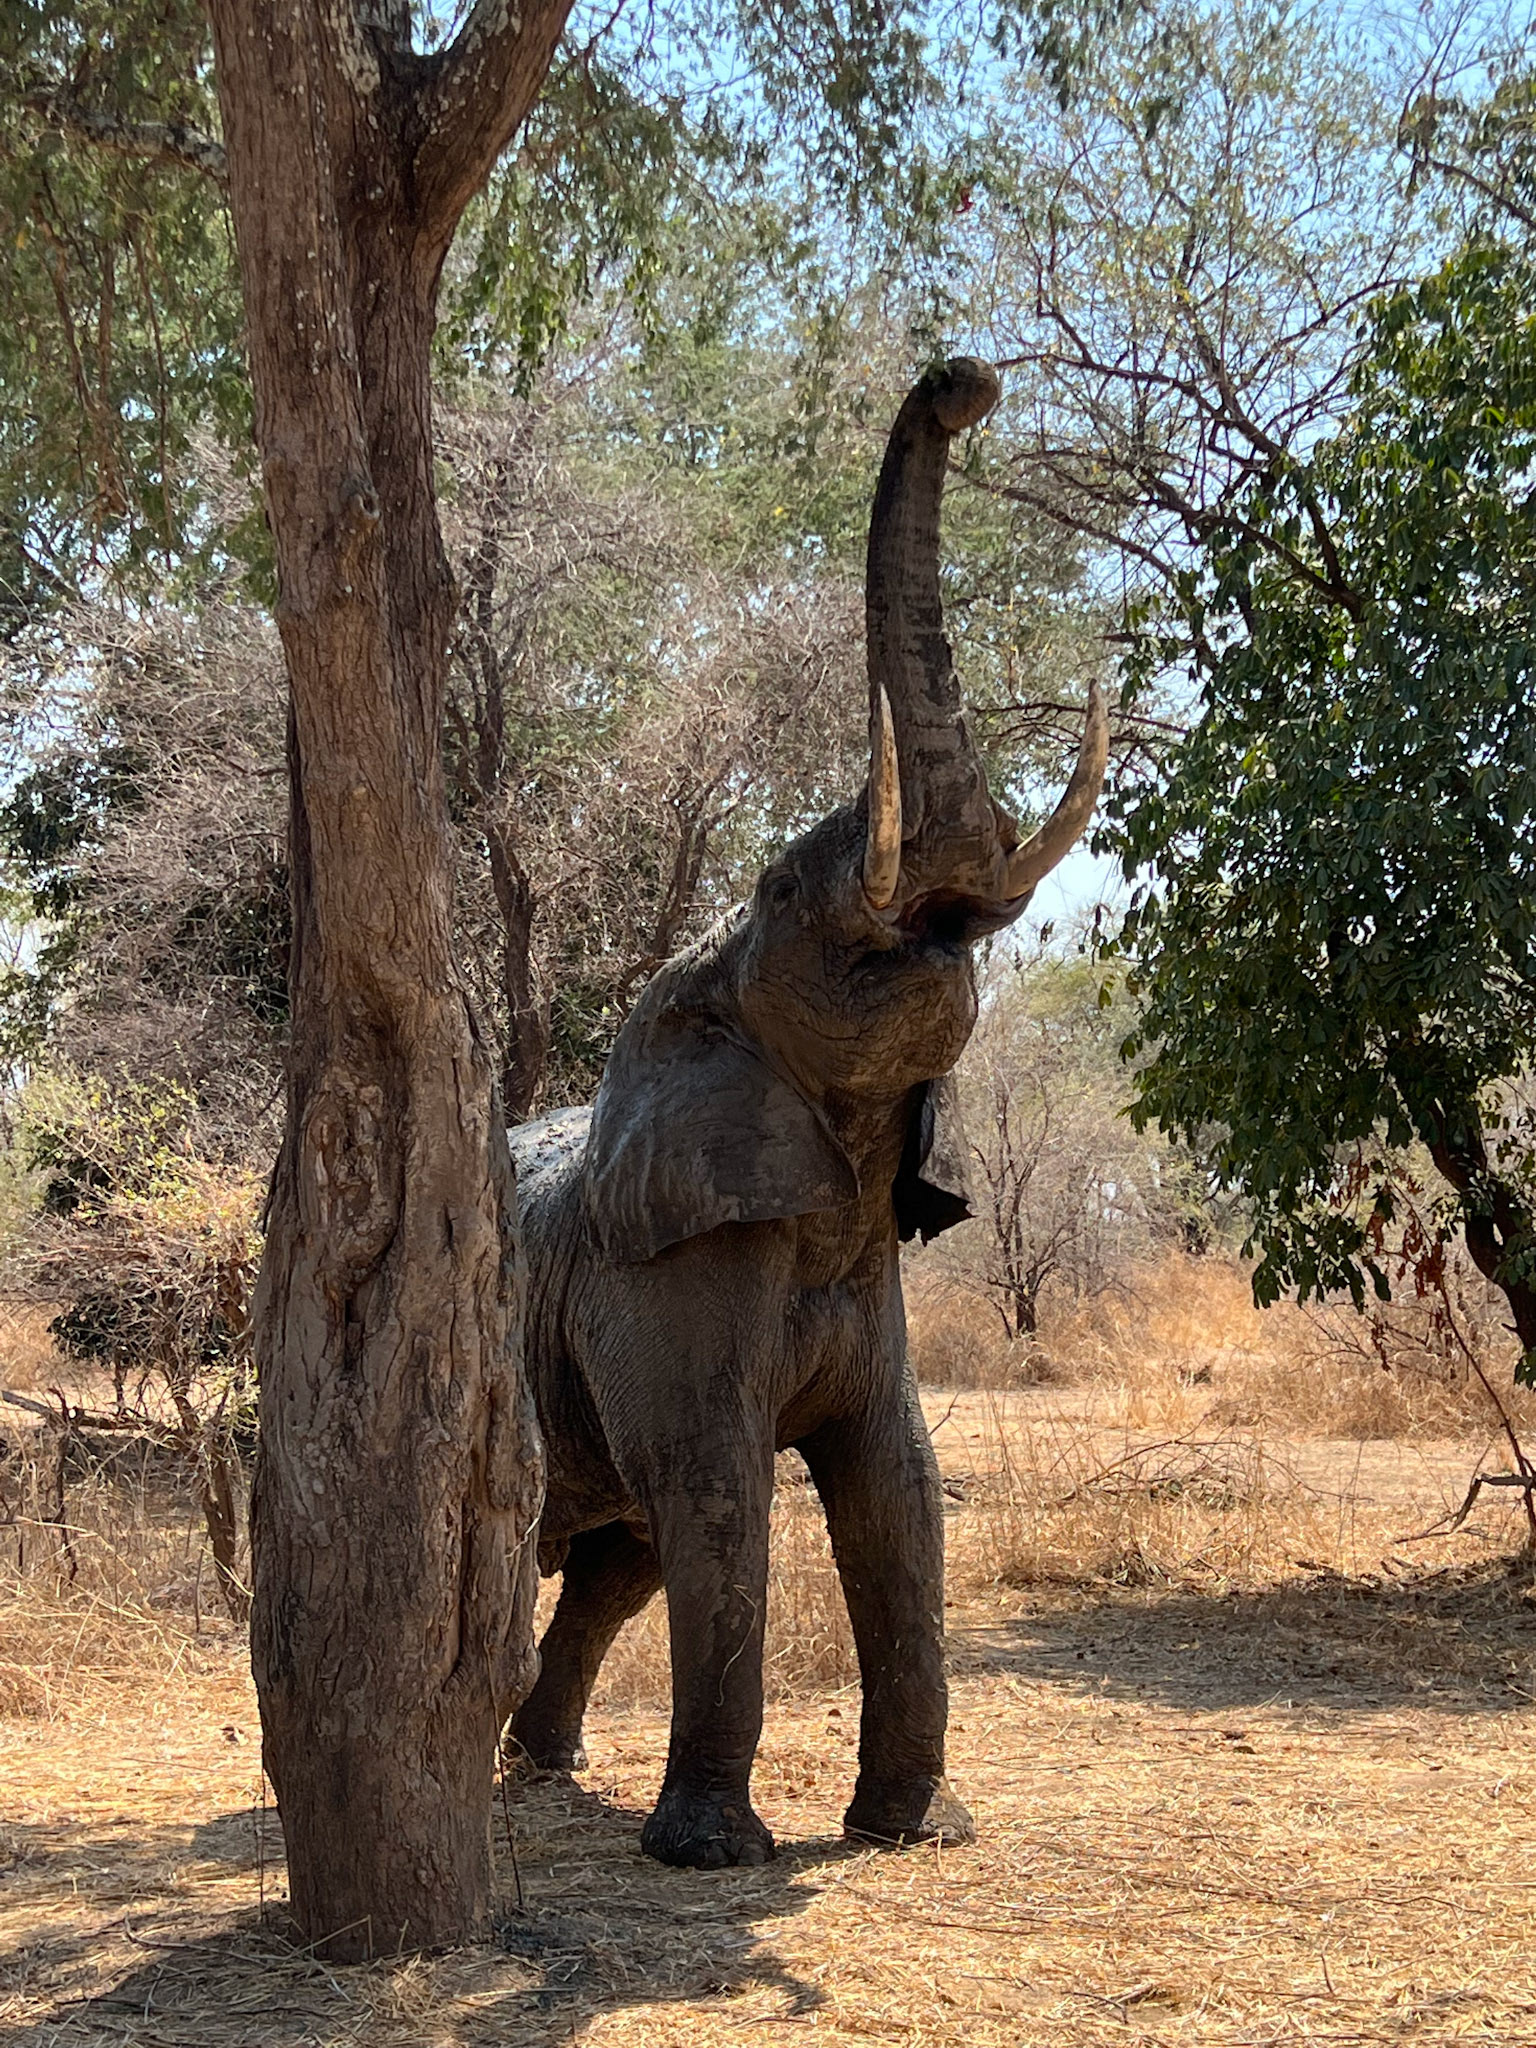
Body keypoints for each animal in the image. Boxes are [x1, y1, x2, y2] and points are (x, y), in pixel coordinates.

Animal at [507, 357, 1108, 1870]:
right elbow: (724, 1490)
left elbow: (900, 1487)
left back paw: (538, 1764)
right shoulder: (663, 1271)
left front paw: (920, 1832)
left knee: (617, 1558)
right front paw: (715, 1857)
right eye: (784, 889)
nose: (963, 386)